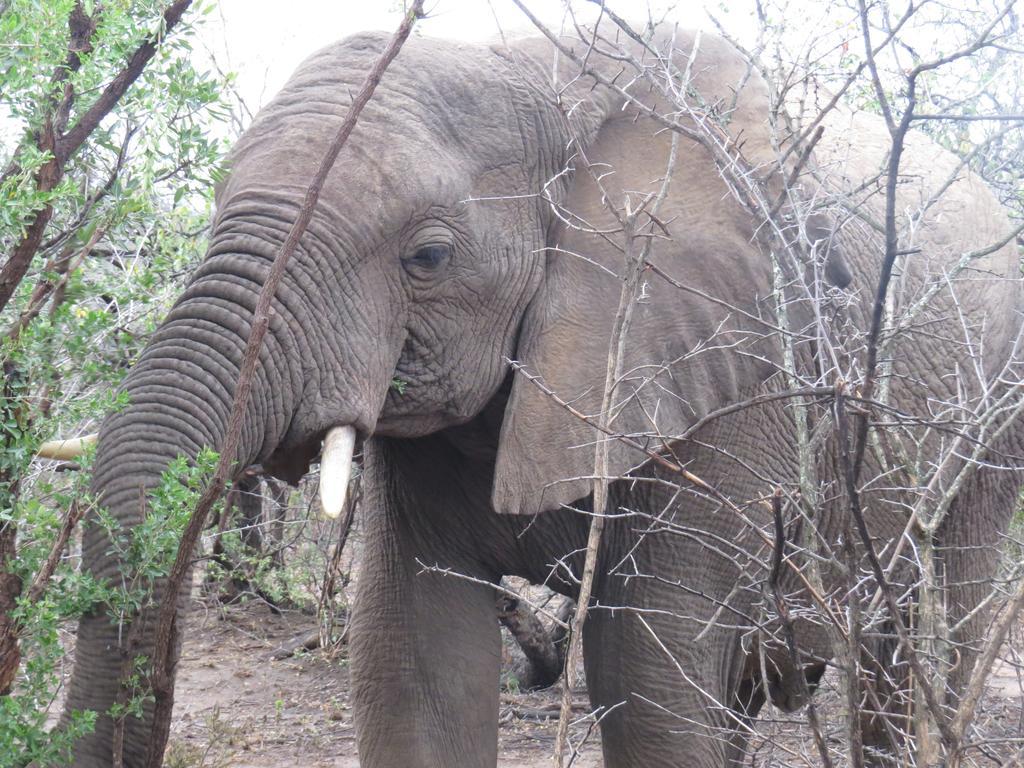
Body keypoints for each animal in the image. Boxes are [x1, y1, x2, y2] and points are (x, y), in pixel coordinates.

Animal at [64, 18, 1024, 768]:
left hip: (992, 415)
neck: (544, 74)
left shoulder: (727, 380)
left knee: (931, 628)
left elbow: (649, 675)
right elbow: (413, 658)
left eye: (428, 256)